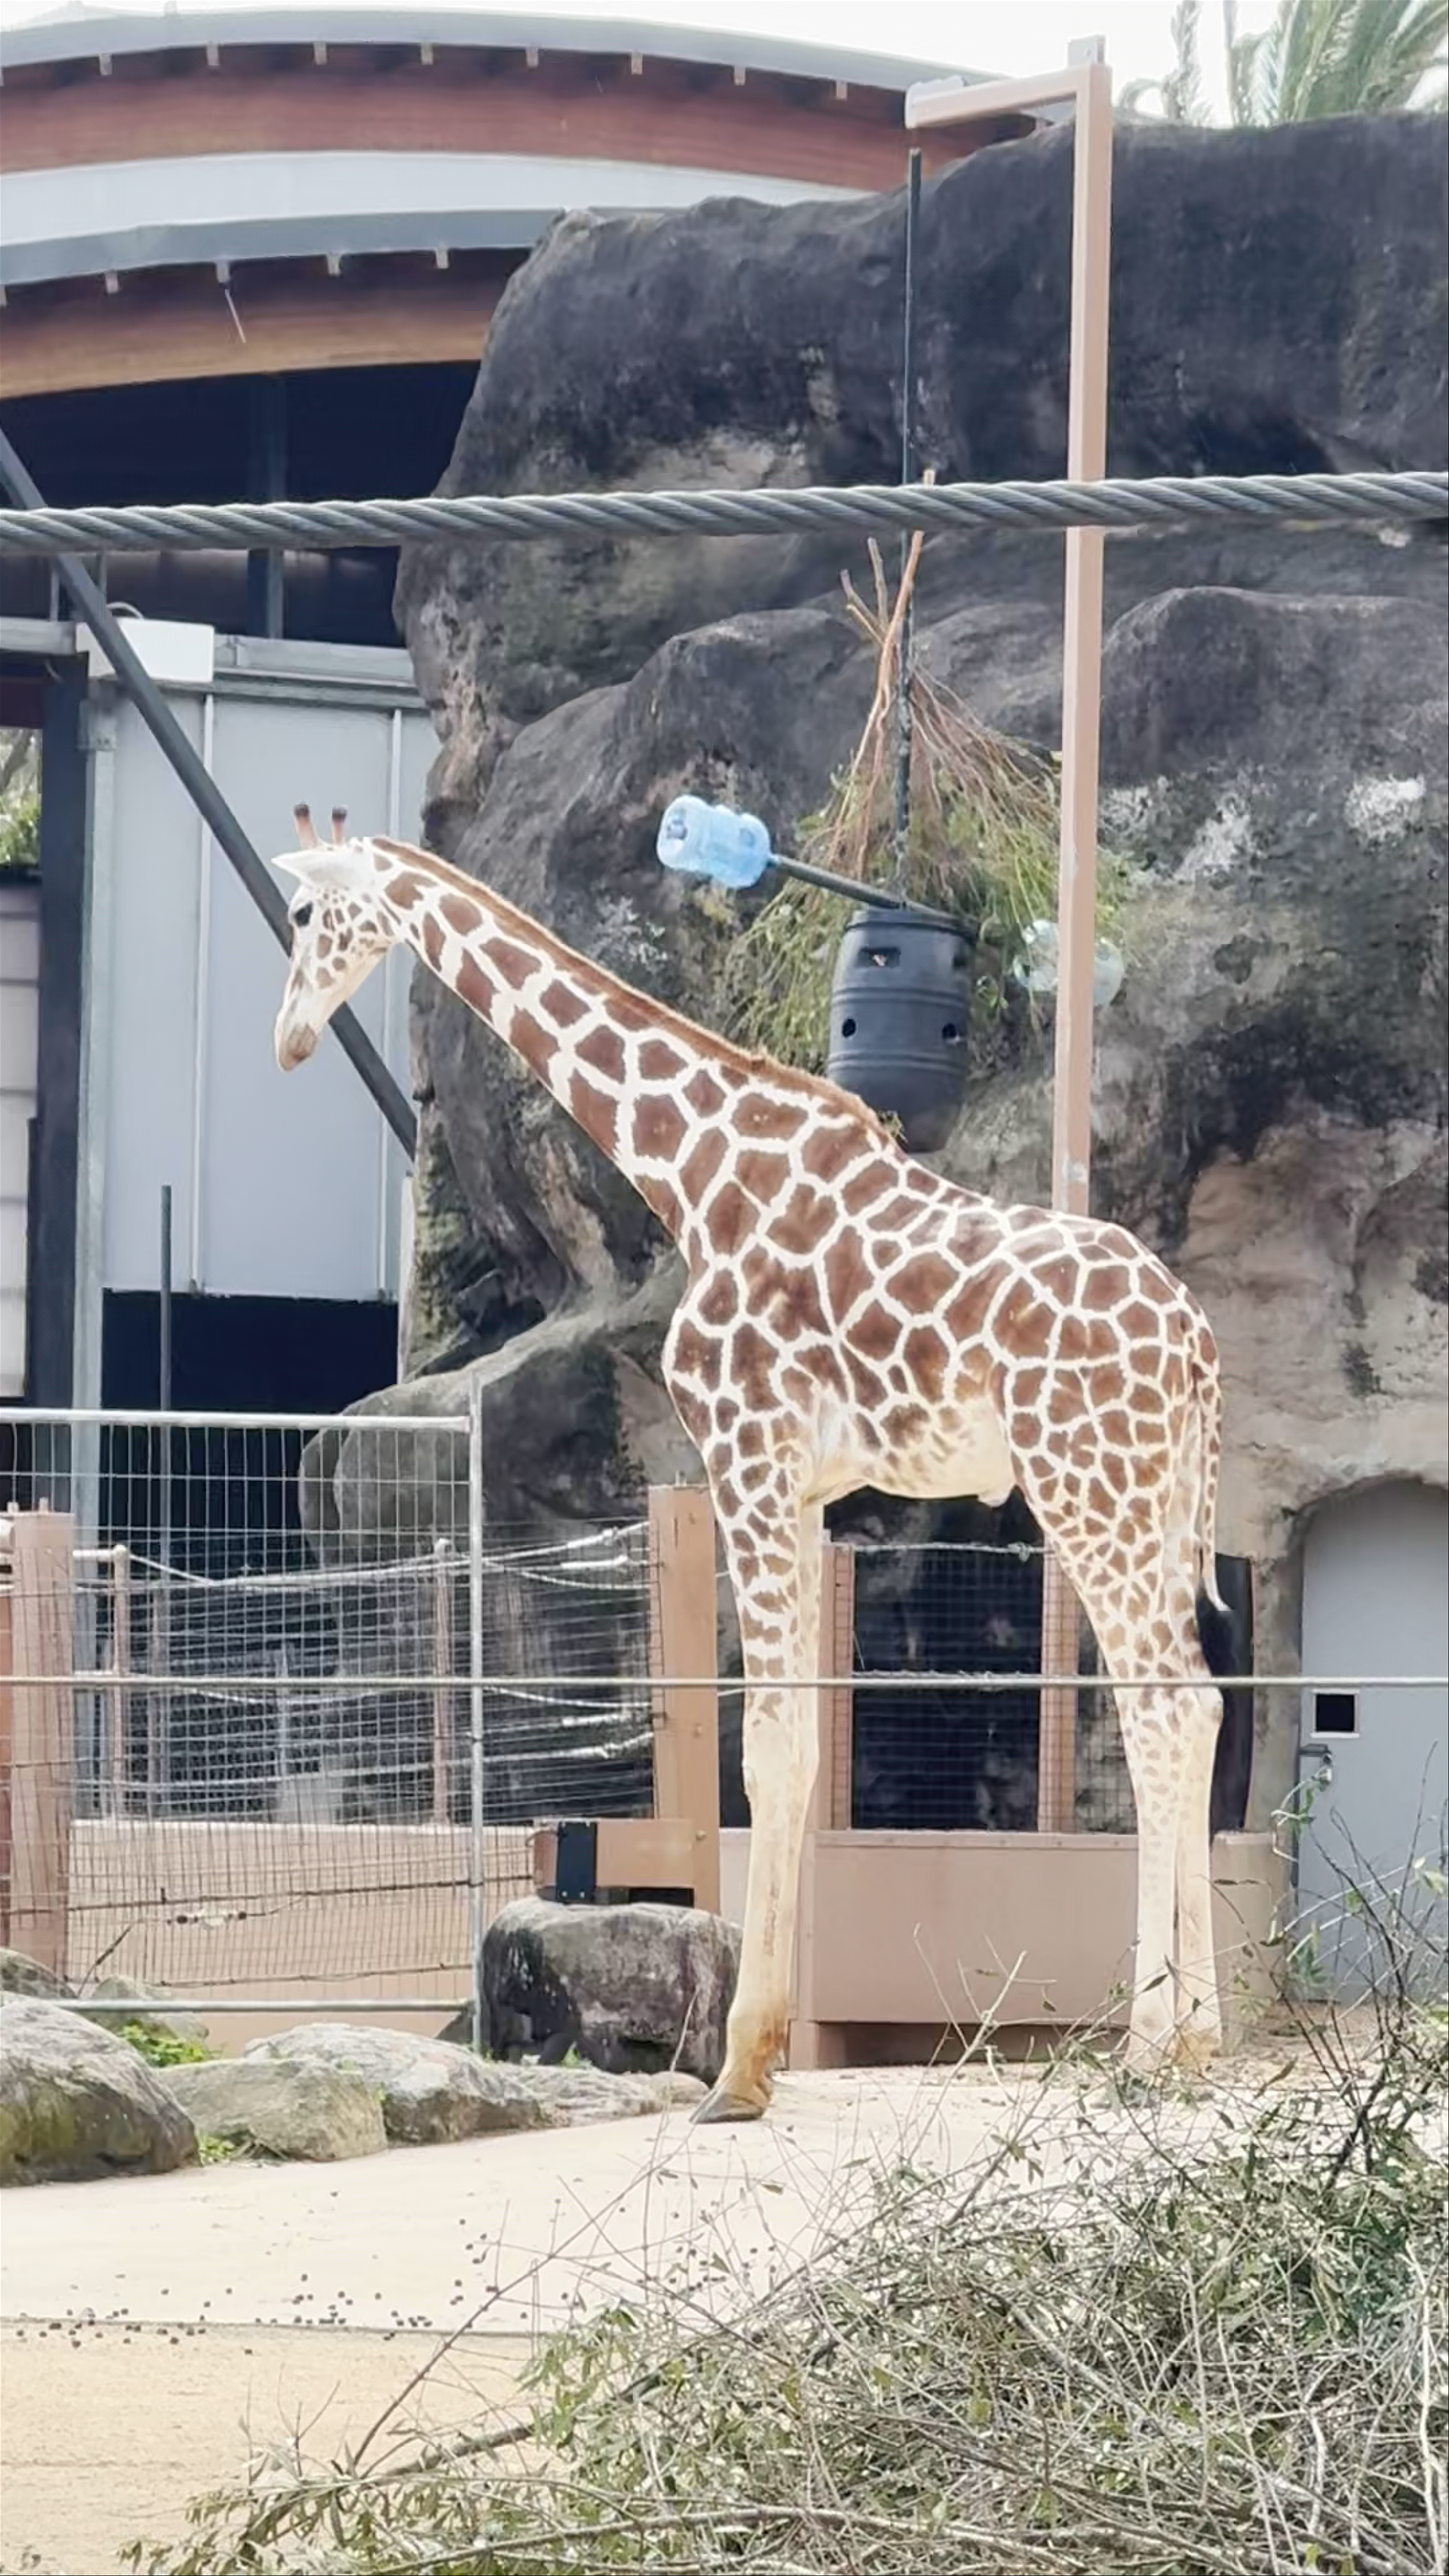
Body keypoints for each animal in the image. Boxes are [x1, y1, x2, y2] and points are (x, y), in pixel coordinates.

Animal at [273, 802, 1228, 2121]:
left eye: (306, 911)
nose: (287, 1038)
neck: (696, 1168)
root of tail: (1191, 1341)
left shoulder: (745, 1451)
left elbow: (767, 1747)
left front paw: (739, 2067)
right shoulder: (812, 1489)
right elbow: (801, 1741)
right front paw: (756, 2052)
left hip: (1090, 1482)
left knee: (1163, 1711)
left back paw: (1146, 2044)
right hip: (1150, 1495)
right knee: (1198, 1702)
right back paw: (1199, 2042)